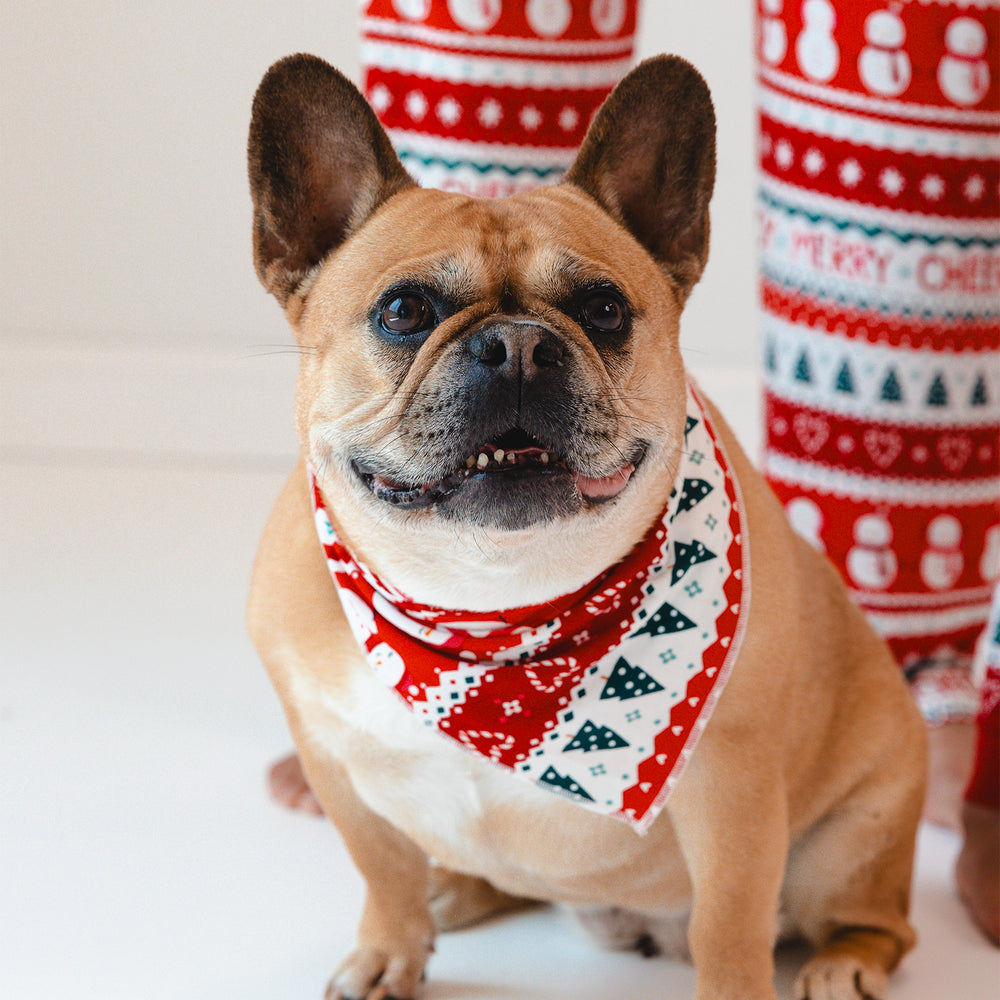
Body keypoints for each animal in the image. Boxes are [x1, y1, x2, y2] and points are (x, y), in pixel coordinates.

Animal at [246, 52, 924, 1000]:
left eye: (604, 310)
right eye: (404, 312)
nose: (518, 346)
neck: (492, 606)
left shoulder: (736, 793)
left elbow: (730, 925)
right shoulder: (335, 764)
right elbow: (382, 871)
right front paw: (390, 949)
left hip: (855, 839)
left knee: (877, 921)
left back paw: (842, 964)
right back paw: (454, 890)